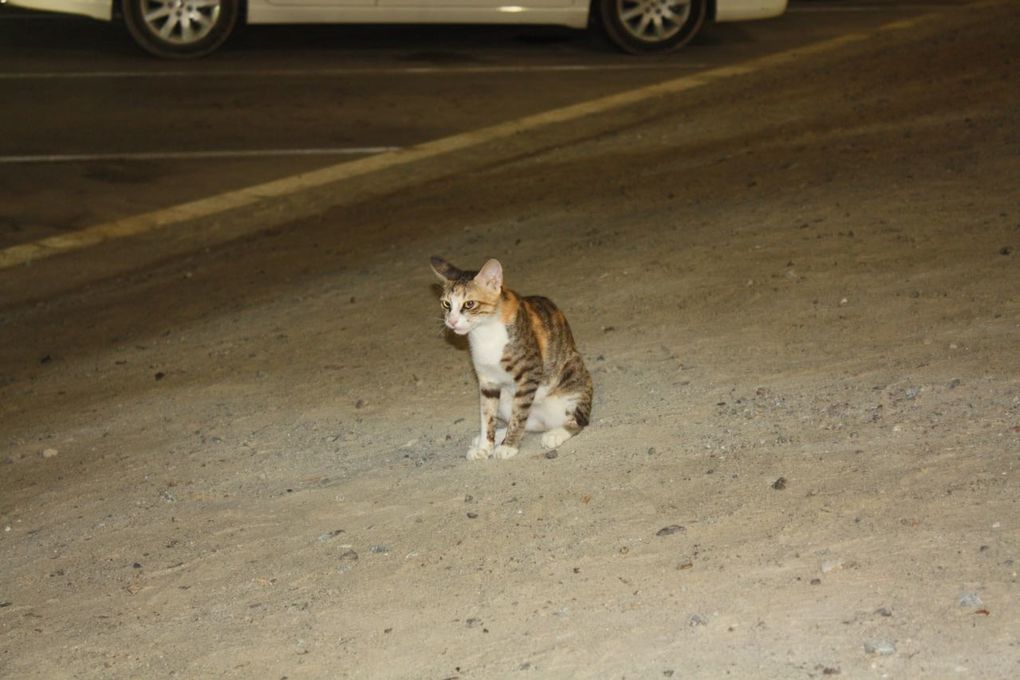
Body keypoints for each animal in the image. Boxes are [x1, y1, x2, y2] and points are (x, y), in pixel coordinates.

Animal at [428, 256, 591, 462]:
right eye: (446, 304)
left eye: (469, 304)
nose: (452, 321)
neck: (484, 332)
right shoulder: (487, 382)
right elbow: (487, 417)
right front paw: (484, 447)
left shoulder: (529, 374)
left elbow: (518, 416)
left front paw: (508, 446)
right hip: (506, 400)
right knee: (527, 423)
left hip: (573, 380)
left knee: (579, 420)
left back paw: (555, 434)